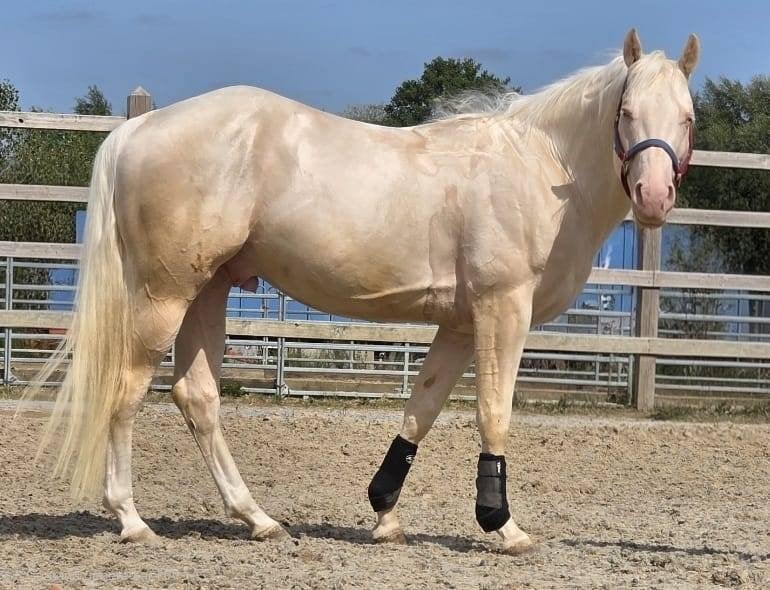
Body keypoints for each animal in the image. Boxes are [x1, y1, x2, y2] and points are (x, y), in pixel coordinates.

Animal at [27, 28, 699, 554]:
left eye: (687, 117)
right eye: (627, 111)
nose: (654, 197)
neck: (539, 169)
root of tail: (139, 127)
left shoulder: (460, 323)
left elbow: (421, 408)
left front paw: (385, 513)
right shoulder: (501, 309)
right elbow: (494, 412)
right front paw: (502, 526)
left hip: (209, 290)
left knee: (197, 398)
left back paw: (258, 519)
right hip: (165, 296)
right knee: (127, 390)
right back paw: (132, 520)